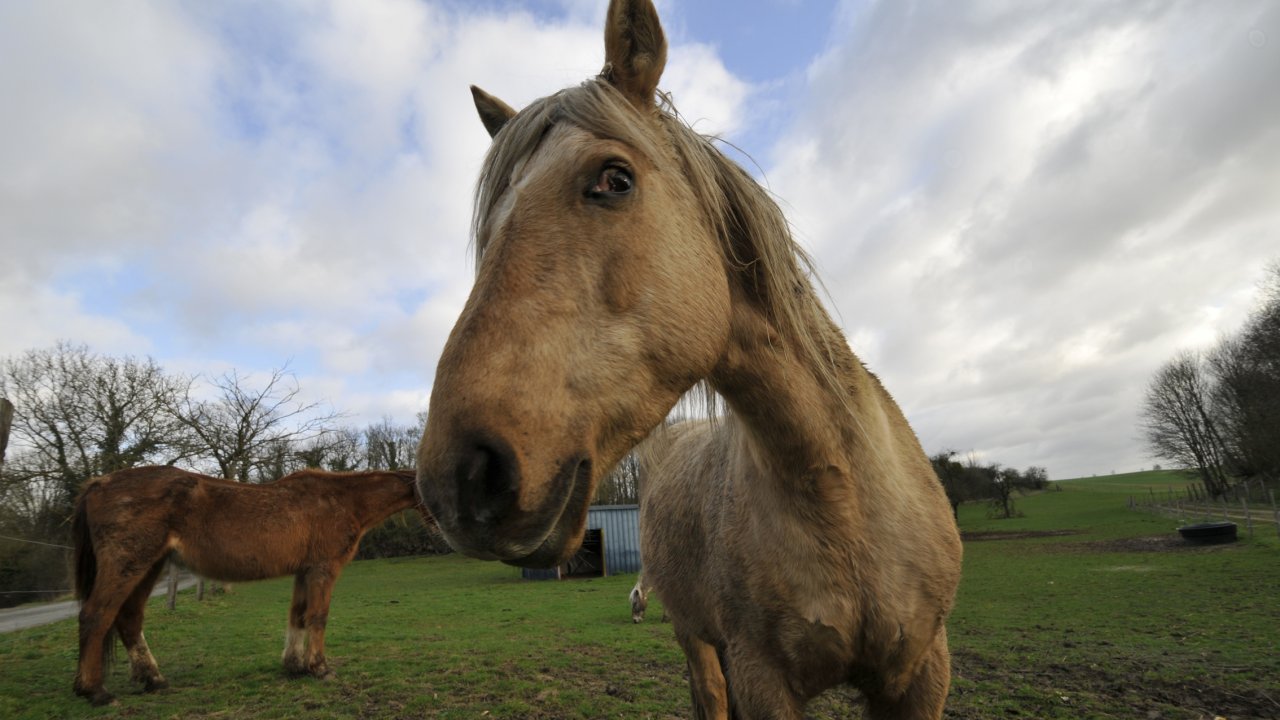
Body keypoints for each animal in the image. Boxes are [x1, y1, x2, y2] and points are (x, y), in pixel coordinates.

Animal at [70, 461, 430, 702]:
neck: (340, 501)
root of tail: (99, 483)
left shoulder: (303, 572)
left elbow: (297, 616)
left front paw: (294, 666)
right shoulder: (322, 569)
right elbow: (317, 617)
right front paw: (320, 668)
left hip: (149, 566)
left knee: (129, 620)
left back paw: (153, 679)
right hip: (128, 565)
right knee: (96, 616)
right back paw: (95, 691)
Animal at [417, 1, 962, 717]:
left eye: (614, 179)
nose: (459, 478)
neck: (842, 494)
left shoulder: (922, 671)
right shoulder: (762, 675)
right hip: (696, 635)